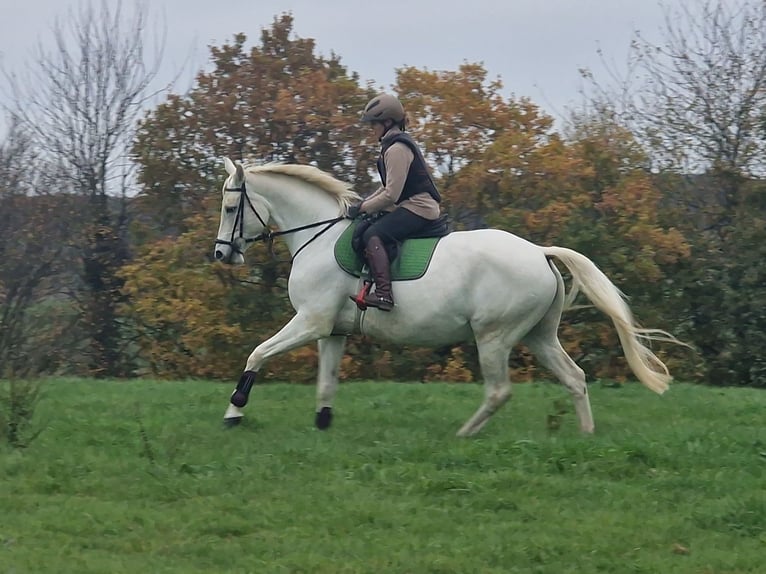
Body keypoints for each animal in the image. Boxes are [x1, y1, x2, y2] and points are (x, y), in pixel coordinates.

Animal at [213, 158, 680, 436]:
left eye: (231, 209)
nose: (221, 254)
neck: (319, 235)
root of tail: (539, 252)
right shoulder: (333, 331)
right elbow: (326, 382)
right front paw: (323, 424)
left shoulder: (311, 322)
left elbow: (258, 353)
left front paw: (235, 411)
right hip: (539, 337)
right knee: (574, 378)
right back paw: (585, 435)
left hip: (494, 337)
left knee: (499, 391)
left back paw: (464, 434)